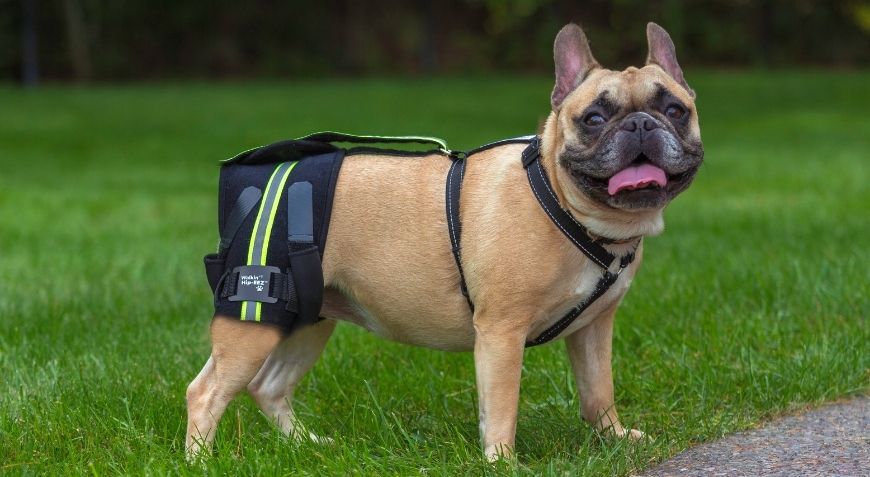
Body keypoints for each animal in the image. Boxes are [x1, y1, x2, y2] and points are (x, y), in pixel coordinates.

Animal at [184, 20, 700, 460]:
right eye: (593, 118)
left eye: (676, 110)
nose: (640, 124)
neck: (568, 206)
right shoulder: (501, 334)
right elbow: (502, 405)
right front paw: (502, 460)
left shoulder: (594, 328)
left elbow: (598, 391)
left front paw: (614, 437)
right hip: (256, 316)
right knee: (206, 393)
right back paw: (202, 461)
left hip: (308, 317)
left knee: (268, 386)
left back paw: (305, 445)